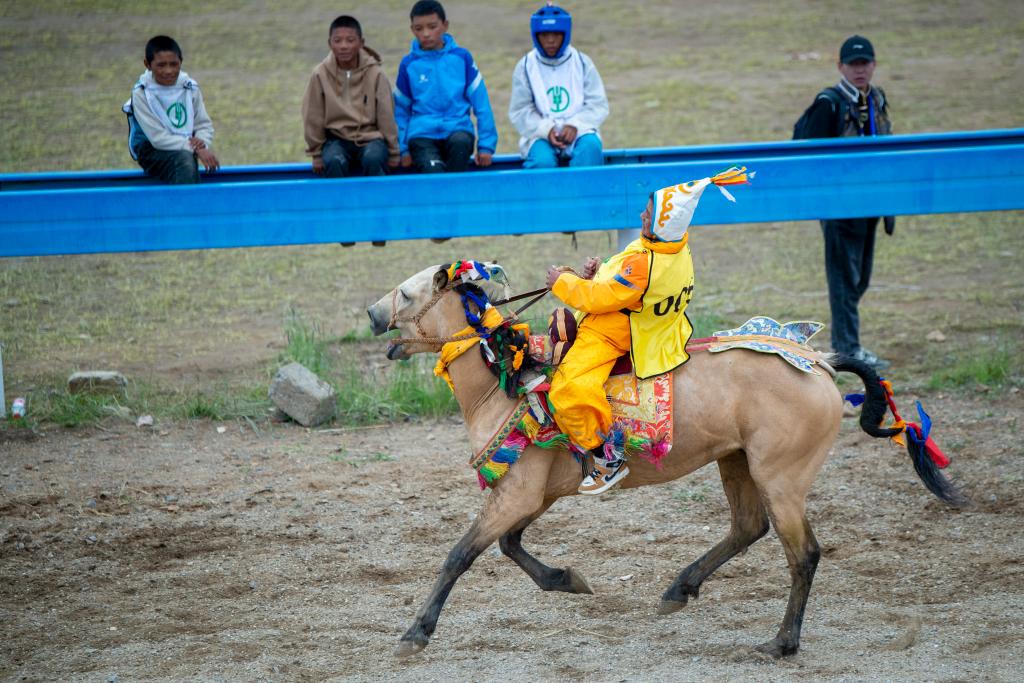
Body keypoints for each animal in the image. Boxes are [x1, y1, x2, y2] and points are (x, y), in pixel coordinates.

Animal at [368, 262, 966, 655]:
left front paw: (415, 633)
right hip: (737, 463)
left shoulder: (516, 493)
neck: (507, 380)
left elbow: (460, 554)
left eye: (407, 293)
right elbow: (511, 547)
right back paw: (680, 589)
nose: (373, 316)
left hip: (781, 477)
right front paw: (568, 580)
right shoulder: (535, 494)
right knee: (747, 529)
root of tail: (817, 360)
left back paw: (781, 642)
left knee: (803, 555)